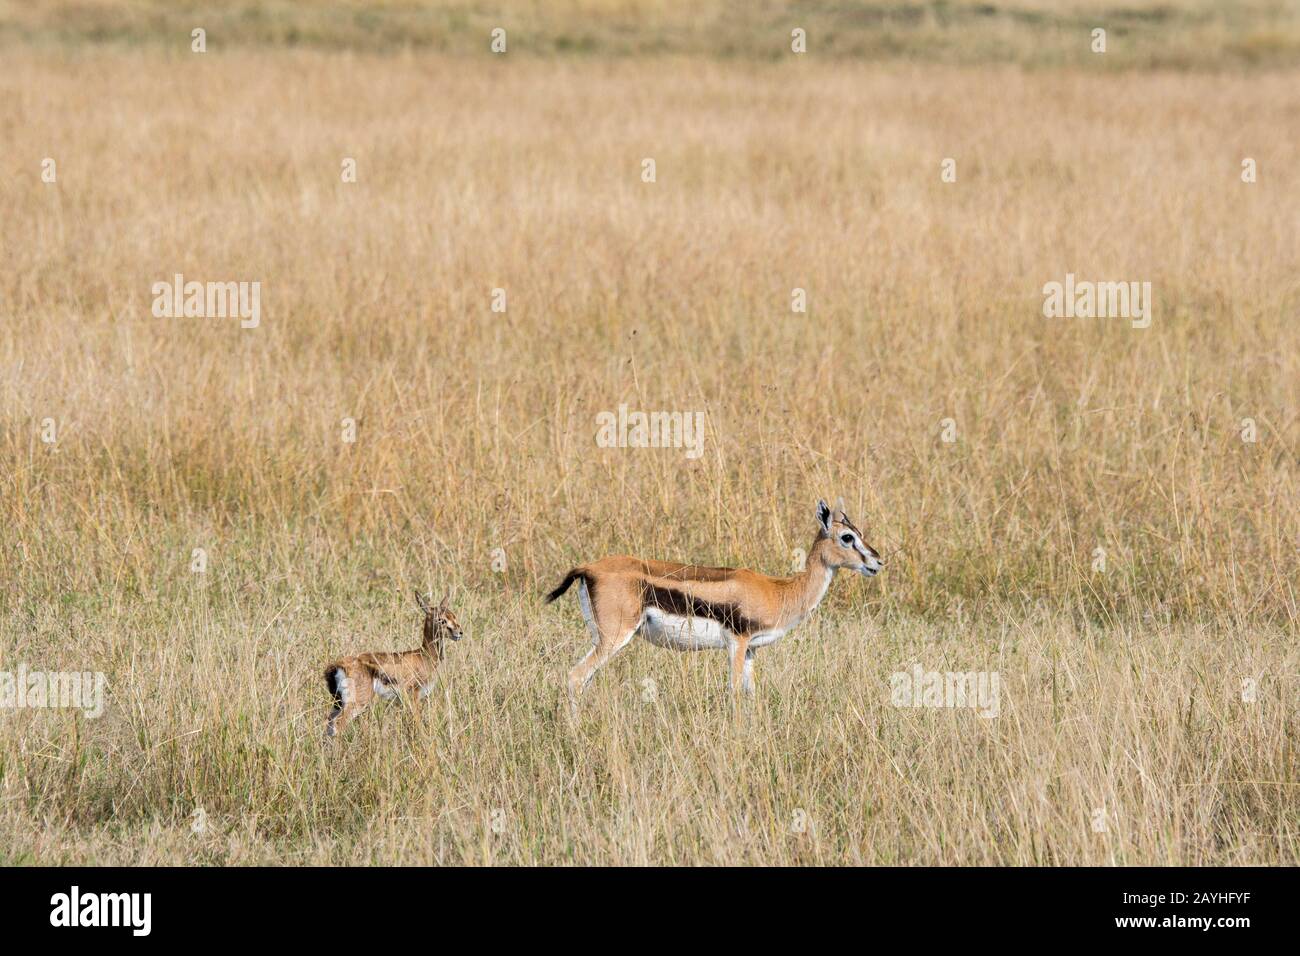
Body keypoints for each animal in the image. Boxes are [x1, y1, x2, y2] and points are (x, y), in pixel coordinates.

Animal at [323, 591, 464, 738]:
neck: (424, 656)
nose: (459, 633)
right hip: (357, 703)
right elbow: (417, 722)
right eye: (441, 620)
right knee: (337, 724)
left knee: (329, 723)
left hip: (338, 703)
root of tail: (336, 666)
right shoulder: (413, 695)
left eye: (454, 616)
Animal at [547, 498, 882, 705]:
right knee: (575, 677)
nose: (877, 562)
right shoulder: (737, 642)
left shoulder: (751, 650)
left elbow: (751, 694)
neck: (778, 591)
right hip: (614, 637)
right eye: (848, 537)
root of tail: (588, 568)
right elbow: (733, 693)